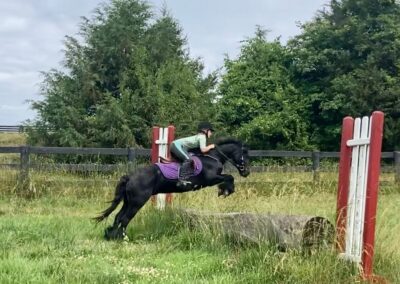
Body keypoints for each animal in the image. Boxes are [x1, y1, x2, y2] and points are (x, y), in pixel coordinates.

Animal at [94, 138, 250, 240]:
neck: (212, 157)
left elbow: (228, 177)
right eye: (245, 155)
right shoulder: (210, 179)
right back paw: (123, 238)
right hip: (137, 202)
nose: (247, 172)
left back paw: (111, 235)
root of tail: (130, 176)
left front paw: (224, 190)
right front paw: (226, 190)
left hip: (128, 201)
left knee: (118, 217)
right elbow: (229, 177)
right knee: (125, 218)